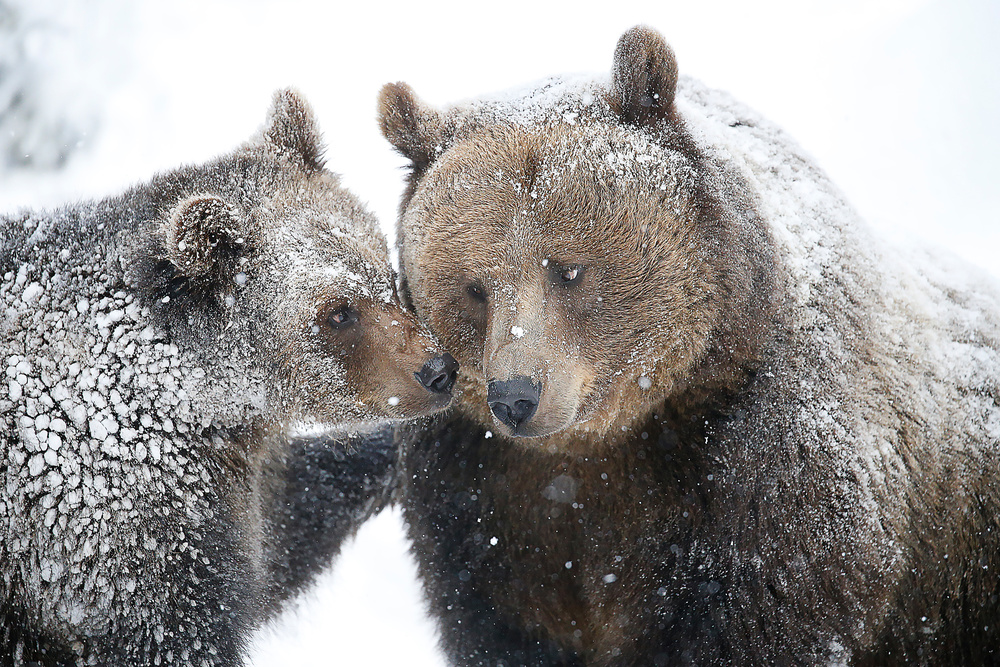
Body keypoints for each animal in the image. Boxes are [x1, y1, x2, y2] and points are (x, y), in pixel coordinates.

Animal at [0, 90, 458, 667]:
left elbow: (283, 532)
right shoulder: (110, 525)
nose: (438, 371)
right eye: (338, 312)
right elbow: (182, 631)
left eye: (385, 272)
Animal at [378, 24, 1000, 667]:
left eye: (569, 269)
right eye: (474, 287)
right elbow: (502, 624)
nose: (517, 397)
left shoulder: (761, 479)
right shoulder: (483, 497)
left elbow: (753, 617)